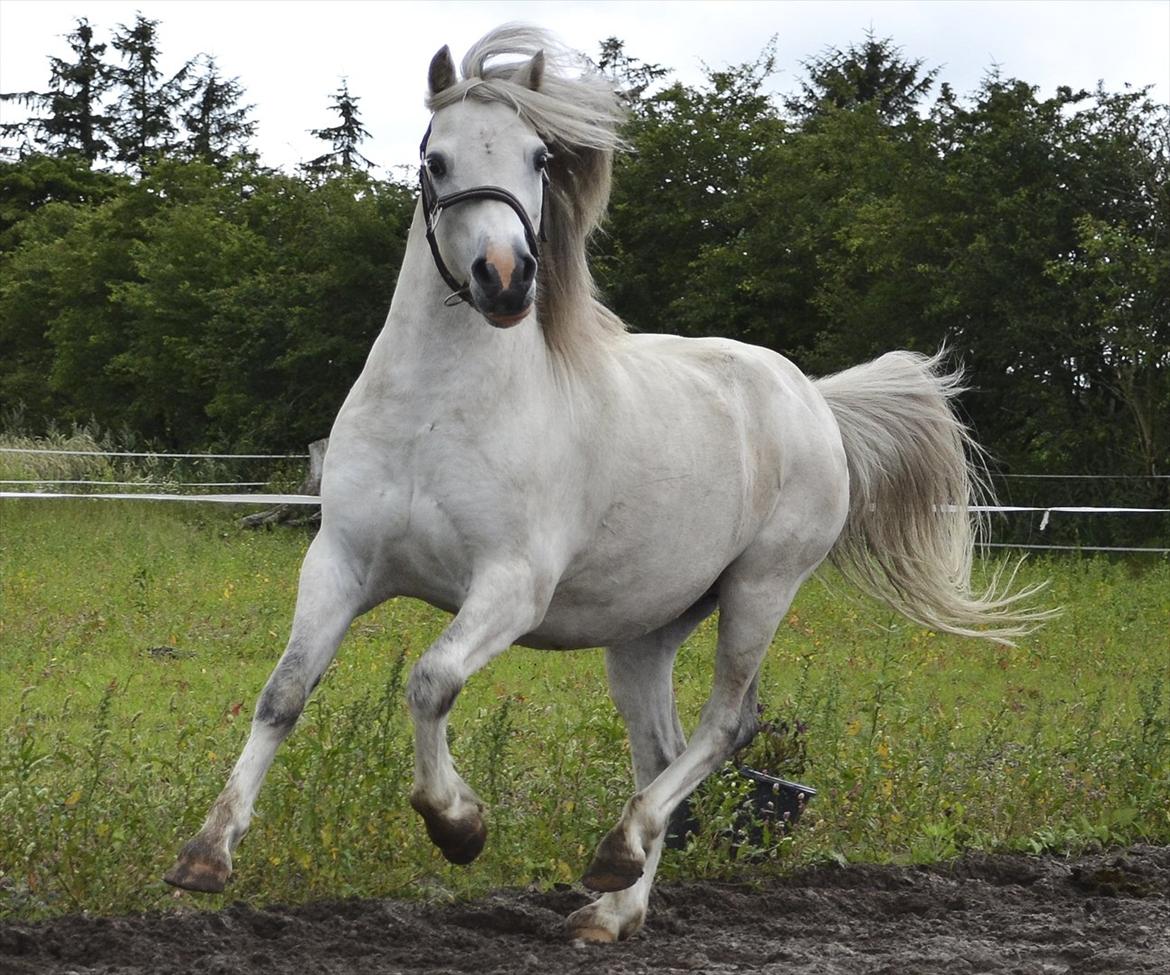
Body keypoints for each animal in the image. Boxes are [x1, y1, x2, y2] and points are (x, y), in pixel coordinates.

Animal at [164, 26, 1043, 945]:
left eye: (538, 156)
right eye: (437, 160)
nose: (506, 277)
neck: (436, 409)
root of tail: (812, 397)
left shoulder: (512, 585)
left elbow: (431, 681)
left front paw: (458, 824)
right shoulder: (339, 563)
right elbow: (284, 692)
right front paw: (205, 855)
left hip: (761, 589)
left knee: (726, 726)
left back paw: (615, 856)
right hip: (648, 628)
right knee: (661, 749)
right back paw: (615, 906)